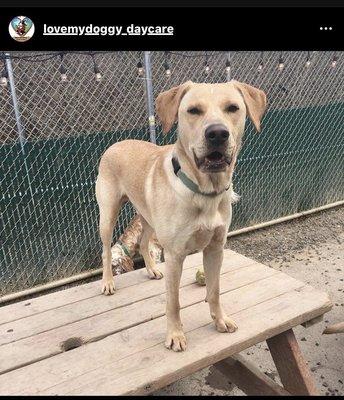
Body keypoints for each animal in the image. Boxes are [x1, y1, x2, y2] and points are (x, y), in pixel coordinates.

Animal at [95, 80, 268, 350]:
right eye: (193, 110)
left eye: (232, 108)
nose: (217, 134)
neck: (205, 192)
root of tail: (116, 143)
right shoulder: (175, 255)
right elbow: (173, 301)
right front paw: (175, 335)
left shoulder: (216, 248)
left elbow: (215, 290)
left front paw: (220, 320)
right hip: (108, 214)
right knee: (105, 251)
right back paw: (108, 282)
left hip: (147, 217)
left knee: (143, 243)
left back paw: (152, 270)